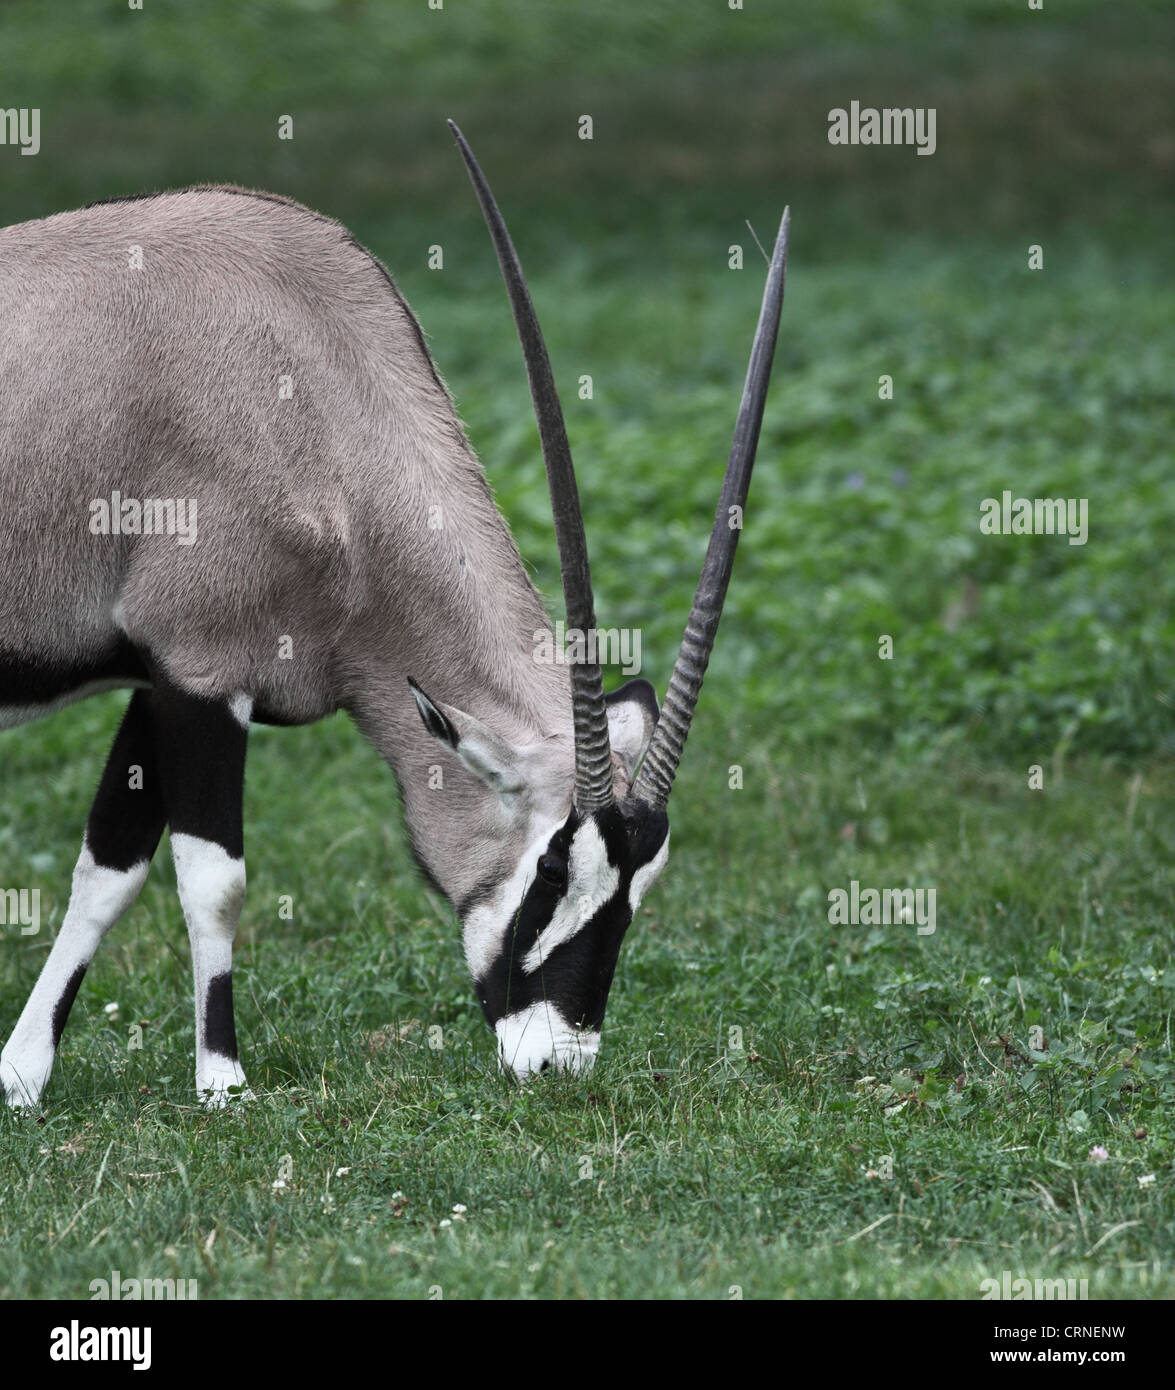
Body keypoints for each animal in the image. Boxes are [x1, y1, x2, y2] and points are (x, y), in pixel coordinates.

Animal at [0, 122, 788, 1107]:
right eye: (552, 868)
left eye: (639, 890)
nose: (557, 1062)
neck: (312, 378)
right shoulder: (204, 671)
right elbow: (213, 879)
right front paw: (223, 1084)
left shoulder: (163, 676)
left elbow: (110, 867)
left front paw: (23, 1074)